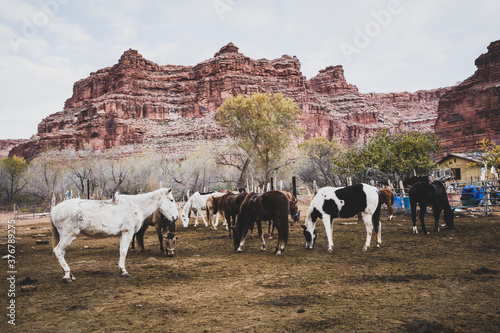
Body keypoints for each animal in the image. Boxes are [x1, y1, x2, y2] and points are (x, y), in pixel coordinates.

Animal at [49, 188, 179, 282]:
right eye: (171, 200)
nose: (176, 217)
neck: (135, 205)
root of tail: (54, 209)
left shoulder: (124, 234)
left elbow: (121, 251)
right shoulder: (127, 233)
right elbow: (123, 252)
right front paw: (123, 271)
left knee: (61, 253)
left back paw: (70, 275)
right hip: (68, 236)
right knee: (58, 251)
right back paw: (67, 275)